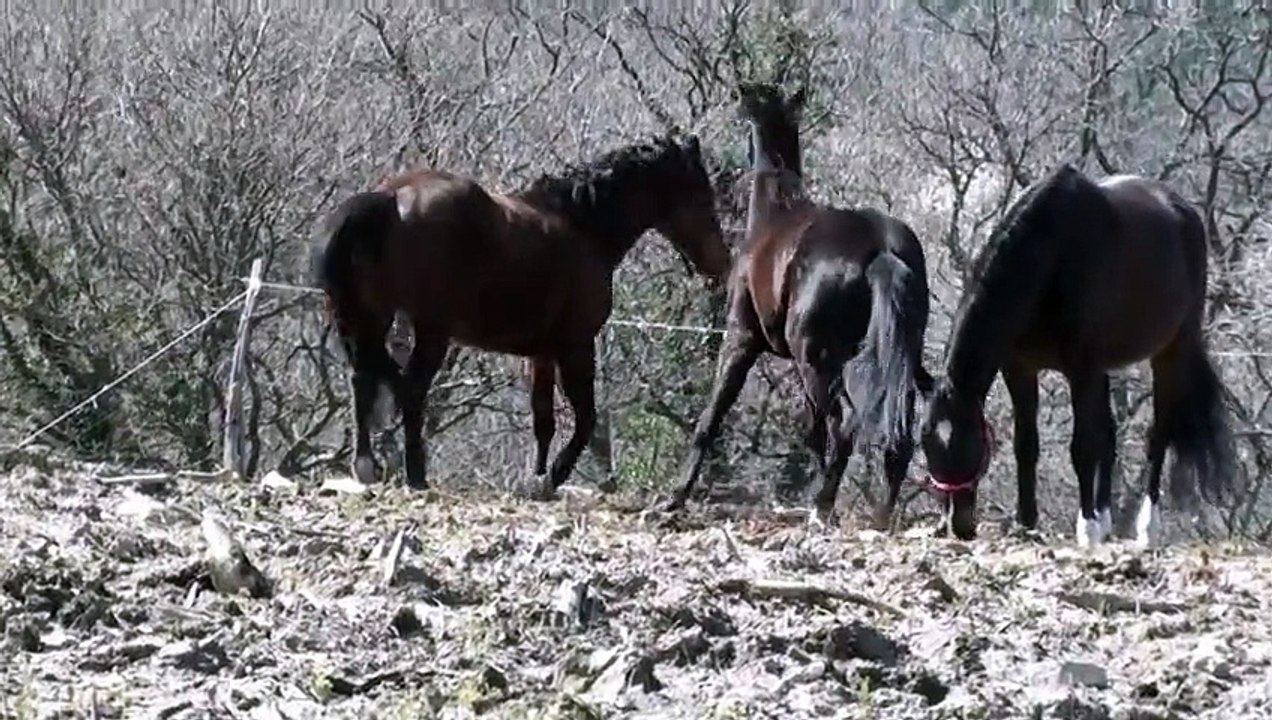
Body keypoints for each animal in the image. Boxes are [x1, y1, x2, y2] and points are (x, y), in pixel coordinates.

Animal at [312, 134, 731, 497]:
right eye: (703, 196)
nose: (722, 264)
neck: (582, 227)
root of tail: (389, 196)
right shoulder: (576, 345)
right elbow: (586, 418)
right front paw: (554, 475)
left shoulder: (541, 354)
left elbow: (542, 420)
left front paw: (536, 477)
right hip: (431, 331)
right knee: (409, 387)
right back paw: (416, 474)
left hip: (370, 318)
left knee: (363, 379)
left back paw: (365, 465)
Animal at [666, 83, 934, 529]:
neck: (776, 213)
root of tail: (882, 250)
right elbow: (811, 432)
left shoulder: (741, 339)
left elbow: (714, 413)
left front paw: (677, 494)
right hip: (888, 359)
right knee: (898, 432)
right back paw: (878, 514)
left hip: (819, 362)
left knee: (844, 425)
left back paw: (823, 506)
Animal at [917, 162, 1236, 547]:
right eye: (926, 442)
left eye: (968, 440)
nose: (957, 524)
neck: (1052, 254)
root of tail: (1184, 211)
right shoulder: (1020, 368)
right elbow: (1027, 445)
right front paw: (1027, 522)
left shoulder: (1080, 368)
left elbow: (1083, 446)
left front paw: (1086, 528)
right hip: (1106, 367)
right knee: (1110, 435)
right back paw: (1106, 517)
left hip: (1171, 351)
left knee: (1158, 435)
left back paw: (1145, 527)